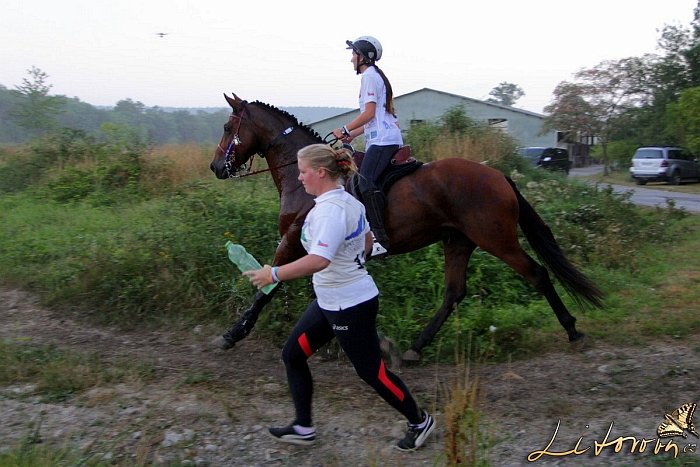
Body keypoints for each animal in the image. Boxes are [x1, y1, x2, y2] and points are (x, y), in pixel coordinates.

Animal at [211, 92, 604, 362]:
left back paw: (572, 329)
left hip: (497, 239)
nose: (216, 167)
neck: (304, 175)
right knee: (453, 293)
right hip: (458, 241)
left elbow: (268, 286)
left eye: (229, 127)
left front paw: (234, 333)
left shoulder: (293, 240)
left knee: (537, 274)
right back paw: (416, 347)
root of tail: (499, 176)